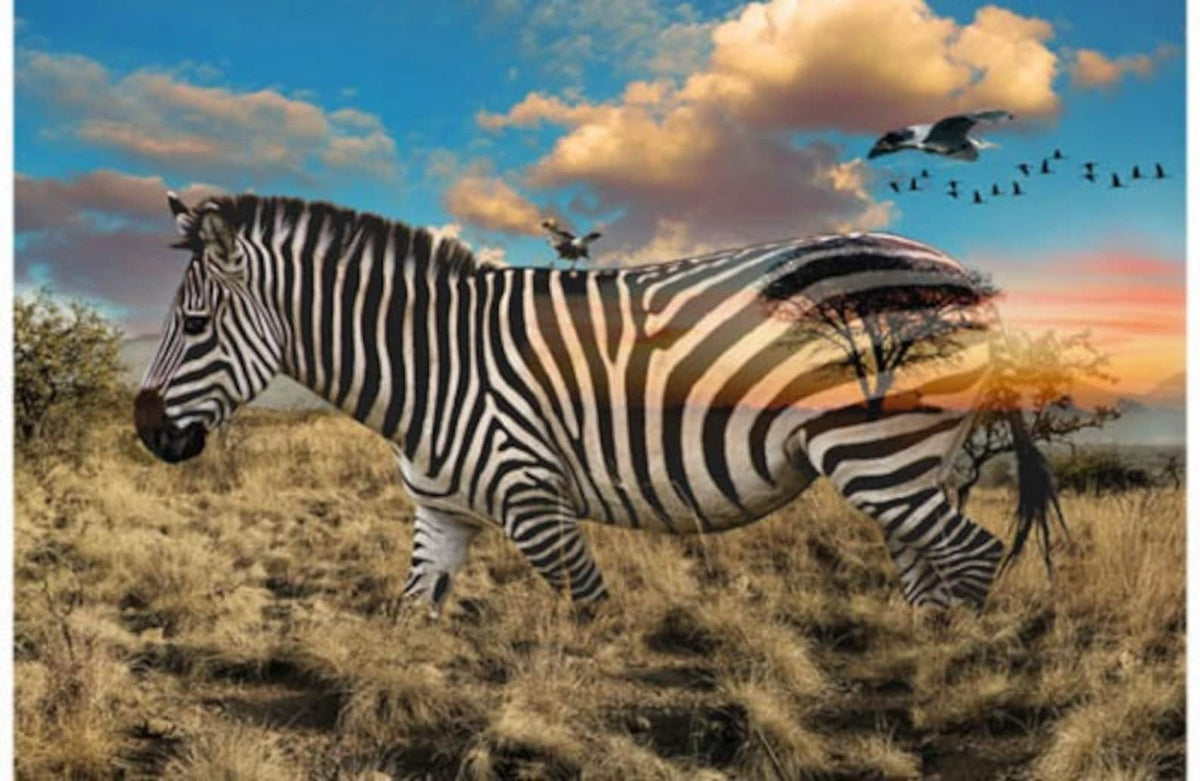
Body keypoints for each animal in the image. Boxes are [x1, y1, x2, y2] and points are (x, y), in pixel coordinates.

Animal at [135, 193, 1063, 615]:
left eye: (193, 324)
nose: (144, 430)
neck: (428, 366)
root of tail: (960, 272)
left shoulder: (533, 500)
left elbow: (588, 616)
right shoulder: (441, 517)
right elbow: (407, 623)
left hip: (879, 450)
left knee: (974, 559)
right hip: (906, 465)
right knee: (931, 577)